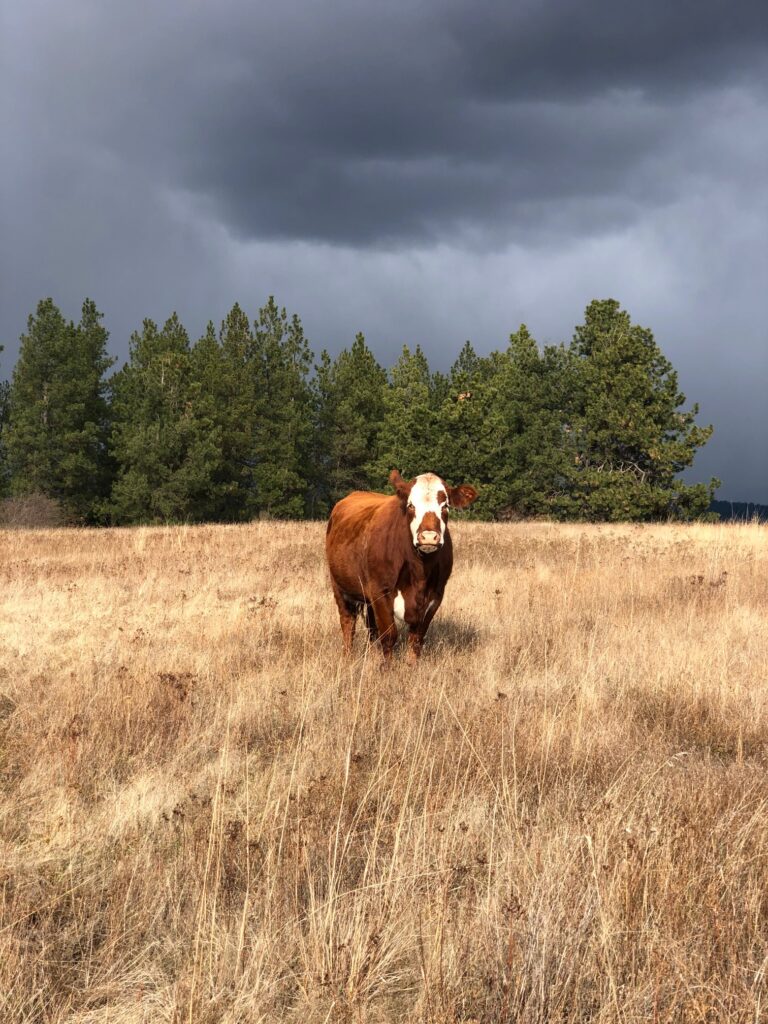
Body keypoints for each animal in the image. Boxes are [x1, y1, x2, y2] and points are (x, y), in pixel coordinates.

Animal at [325, 469, 478, 664]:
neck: (419, 573)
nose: (428, 537)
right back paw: (347, 657)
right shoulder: (380, 592)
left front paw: (411, 666)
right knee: (348, 623)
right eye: (411, 506)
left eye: (445, 507)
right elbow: (389, 636)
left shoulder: (435, 596)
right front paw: (387, 668)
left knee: (371, 628)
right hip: (339, 586)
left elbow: (416, 639)